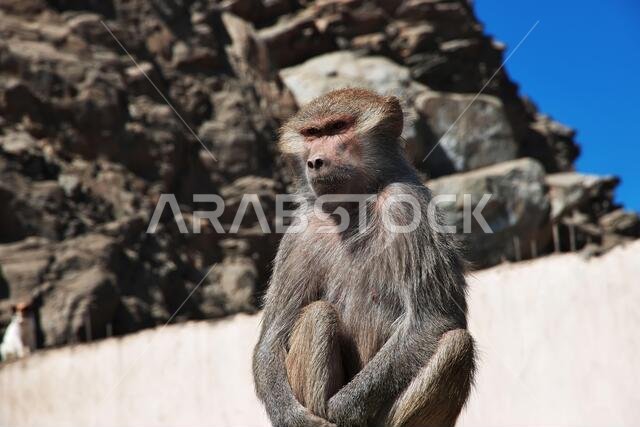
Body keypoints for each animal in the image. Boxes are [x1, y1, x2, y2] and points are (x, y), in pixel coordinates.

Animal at [253, 88, 475, 427]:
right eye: (312, 133)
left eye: (337, 127)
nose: (315, 161)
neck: (354, 207)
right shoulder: (299, 235)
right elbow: (272, 338)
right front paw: (292, 417)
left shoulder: (405, 203)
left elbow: (431, 318)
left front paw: (344, 409)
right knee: (318, 314)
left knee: (456, 344)